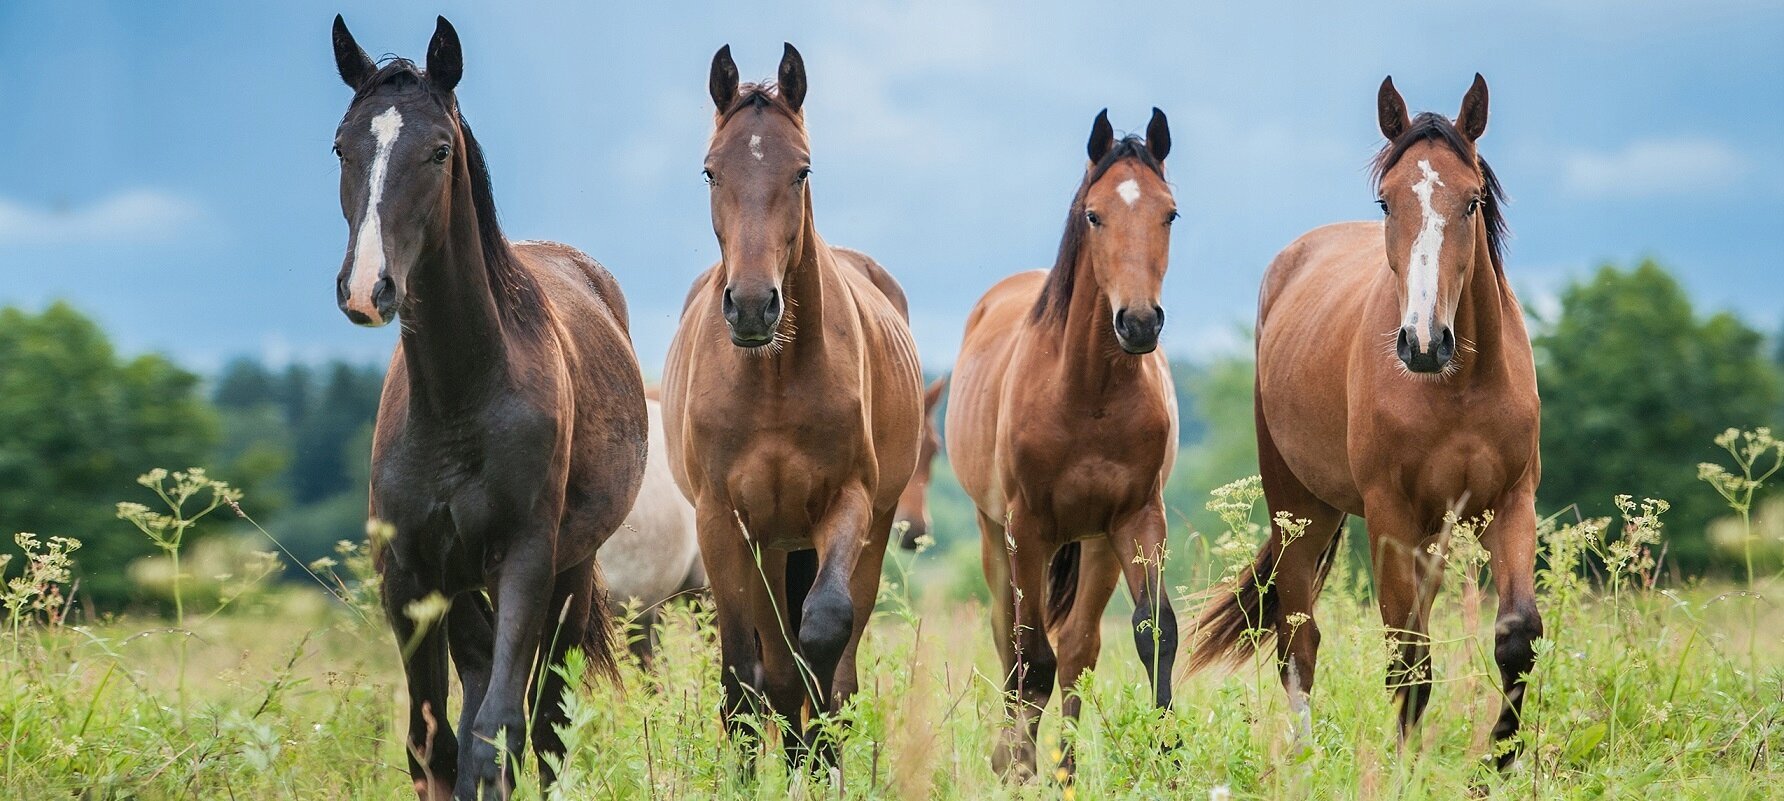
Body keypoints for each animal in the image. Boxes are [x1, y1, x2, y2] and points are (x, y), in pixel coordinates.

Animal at [330, 15, 649, 795]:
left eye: (439, 150)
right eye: (342, 146)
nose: (367, 288)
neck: (458, 400)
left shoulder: (526, 562)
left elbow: (502, 731)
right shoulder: (409, 576)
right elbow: (434, 743)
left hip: (566, 577)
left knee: (546, 719)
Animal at [663, 42, 927, 763]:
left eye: (802, 170)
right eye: (710, 171)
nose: (754, 305)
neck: (773, 379)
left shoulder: (848, 502)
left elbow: (825, 640)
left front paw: (817, 751)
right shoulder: (722, 520)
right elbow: (742, 670)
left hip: (854, 532)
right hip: (767, 542)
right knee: (769, 664)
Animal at [949, 109, 1184, 777]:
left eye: (1170, 213)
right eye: (1094, 214)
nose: (1139, 322)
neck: (1086, 392)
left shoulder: (1140, 519)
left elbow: (1155, 632)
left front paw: (1167, 755)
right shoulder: (1026, 528)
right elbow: (1032, 659)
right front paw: (1017, 766)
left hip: (1098, 544)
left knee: (1080, 647)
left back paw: (1067, 768)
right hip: (994, 538)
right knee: (1012, 642)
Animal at [1184, 74, 1548, 767]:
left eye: (1472, 201)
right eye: (1386, 202)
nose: (1423, 342)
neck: (1458, 385)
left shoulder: (1512, 500)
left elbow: (1518, 637)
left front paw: (1497, 763)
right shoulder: (1388, 513)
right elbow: (1407, 659)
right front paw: (1407, 767)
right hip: (1299, 508)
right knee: (1298, 642)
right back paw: (1305, 761)